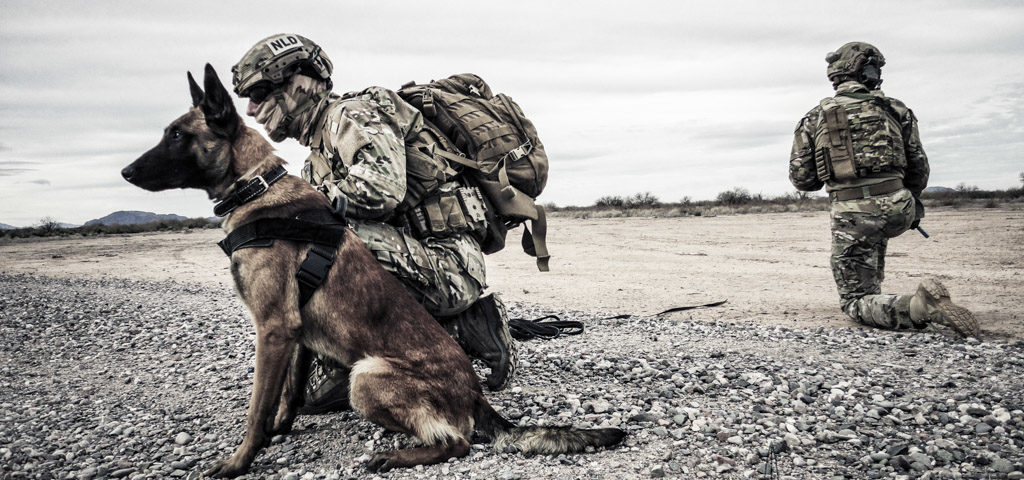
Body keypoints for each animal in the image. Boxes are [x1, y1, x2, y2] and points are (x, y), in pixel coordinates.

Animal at [119, 62, 622, 474]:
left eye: (177, 135)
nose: (124, 173)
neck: (256, 186)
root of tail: (476, 393)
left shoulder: (273, 327)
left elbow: (257, 406)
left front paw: (240, 461)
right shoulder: (293, 332)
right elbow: (288, 392)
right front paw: (281, 429)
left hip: (365, 376)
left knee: (458, 443)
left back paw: (394, 456)